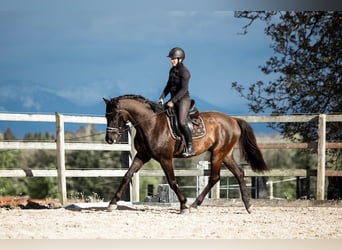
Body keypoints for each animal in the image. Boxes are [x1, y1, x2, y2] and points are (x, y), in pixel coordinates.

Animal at [103, 94, 268, 213]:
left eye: (114, 116)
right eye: (106, 116)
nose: (110, 139)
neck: (151, 124)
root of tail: (233, 120)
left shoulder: (165, 158)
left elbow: (172, 181)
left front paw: (183, 205)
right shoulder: (142, 156)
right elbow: (127, 176)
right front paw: (112, 204)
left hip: (218, 154)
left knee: (214, 177)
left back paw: (194, 204)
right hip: (225, 154)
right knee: (238, 173)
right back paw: (248, 205)